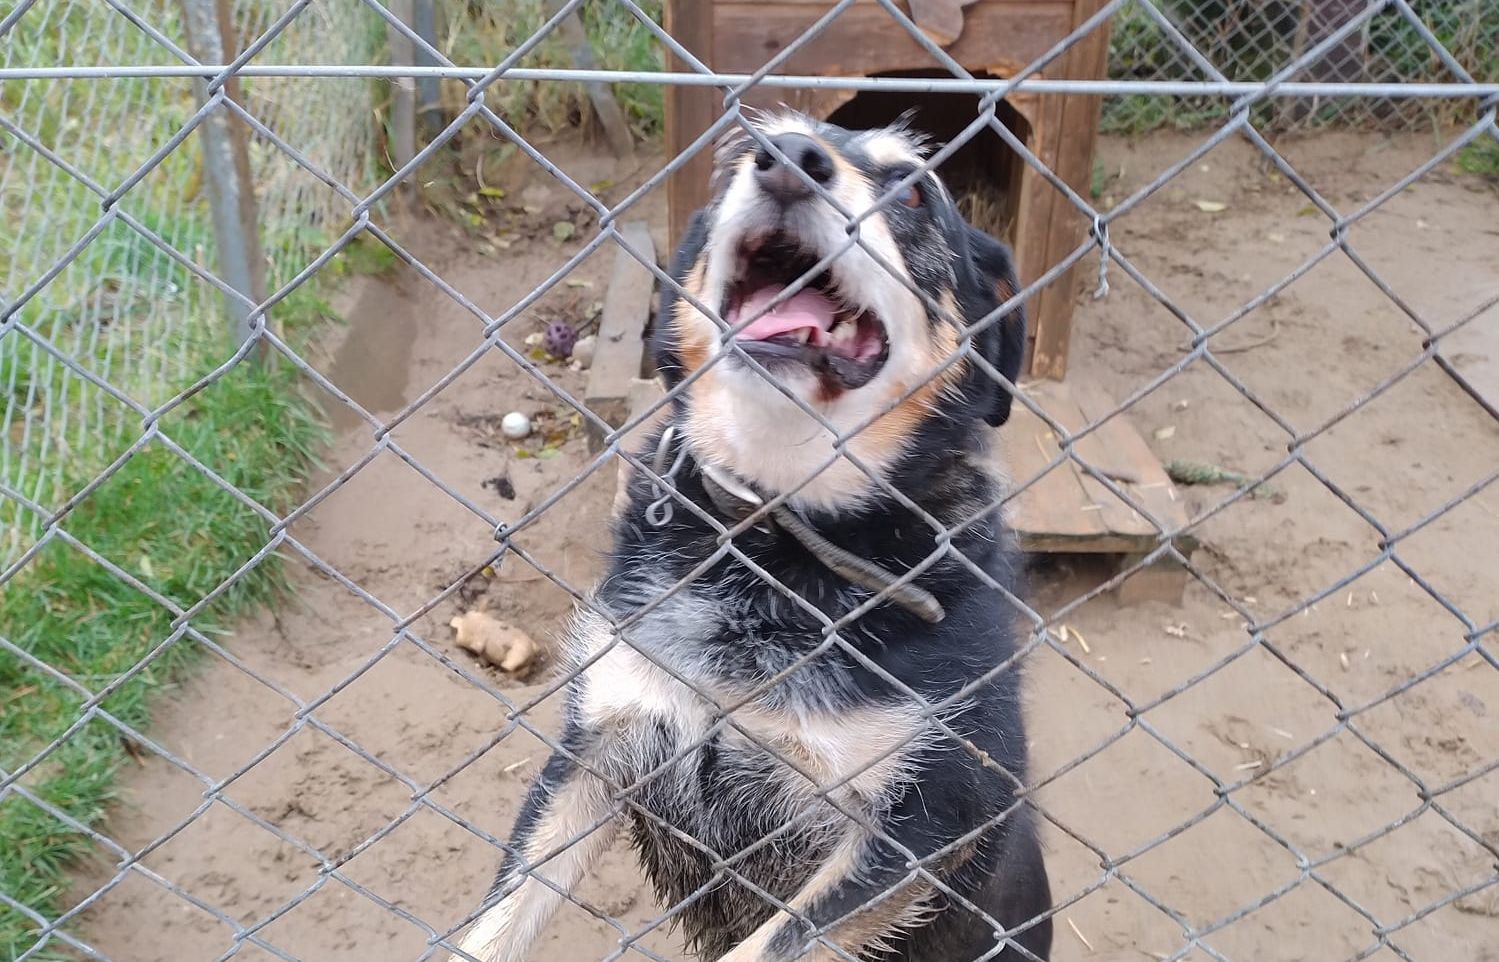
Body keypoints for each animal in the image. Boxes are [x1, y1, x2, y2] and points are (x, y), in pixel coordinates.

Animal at [449, 113, 1049, 959]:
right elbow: (498, 919)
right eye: (740, 153)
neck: (769, 541)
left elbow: (765, 945)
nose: (789, 160)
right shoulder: (598, 739)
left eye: (913, 190)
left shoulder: (932, 815)